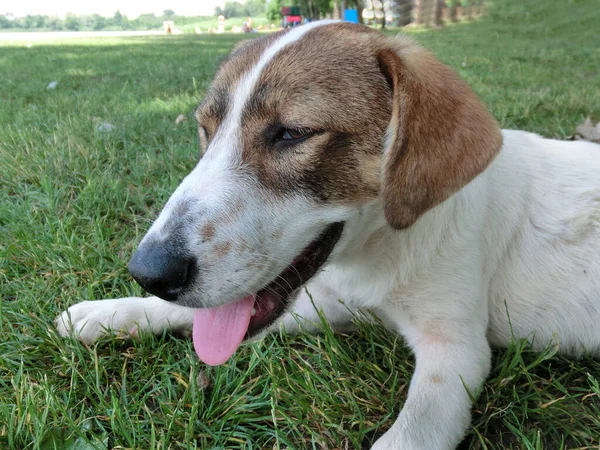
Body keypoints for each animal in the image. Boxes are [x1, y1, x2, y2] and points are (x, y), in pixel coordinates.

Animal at [56, 21, 600, 450]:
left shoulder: (456, 353)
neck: (378, 256)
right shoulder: (324, 304)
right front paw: (109, 314)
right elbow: (191, 314)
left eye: (292, 134)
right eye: (205, 129)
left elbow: (408, 436)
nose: (149, 272)